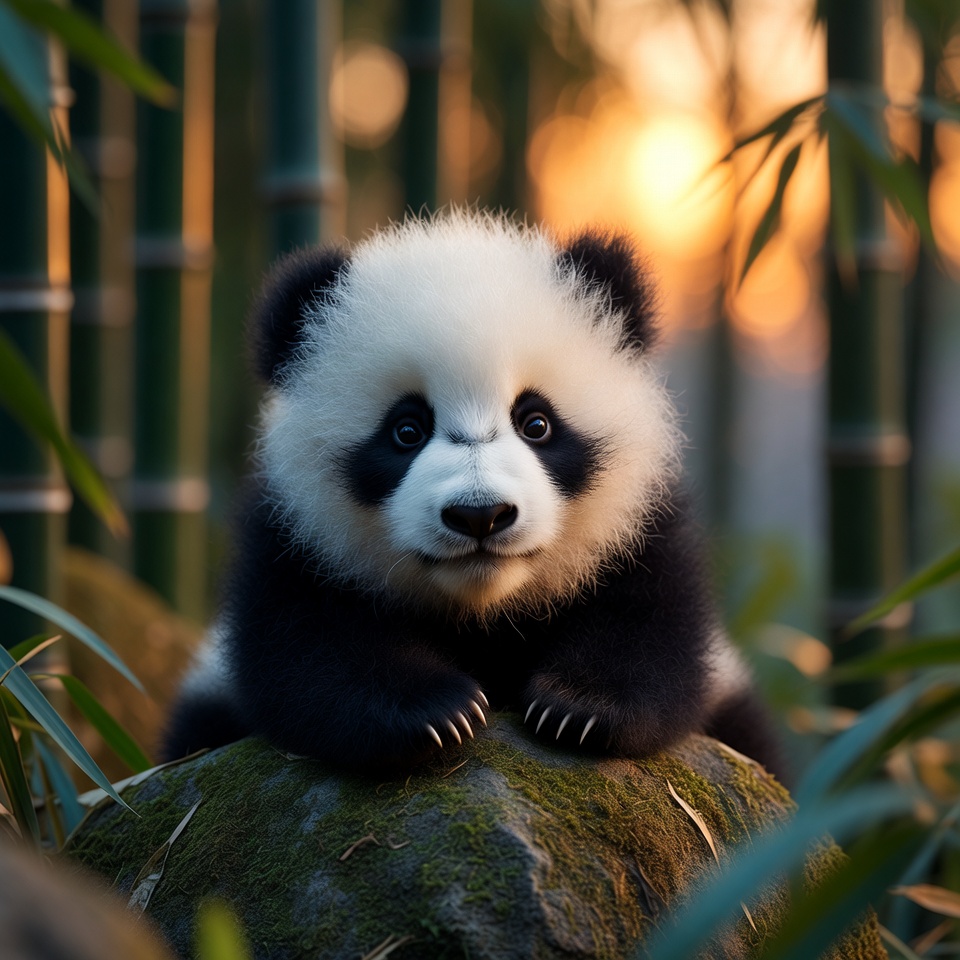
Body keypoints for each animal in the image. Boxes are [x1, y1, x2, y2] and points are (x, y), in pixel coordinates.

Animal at [163, 211, 783, 780]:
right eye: (406, 430)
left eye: (536, 423)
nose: (480, 515)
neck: (484, 614)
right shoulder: (292, 536)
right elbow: (305, 647)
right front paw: (437, 713)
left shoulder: (641, 525)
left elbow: (654, 629)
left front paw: (578, 708)